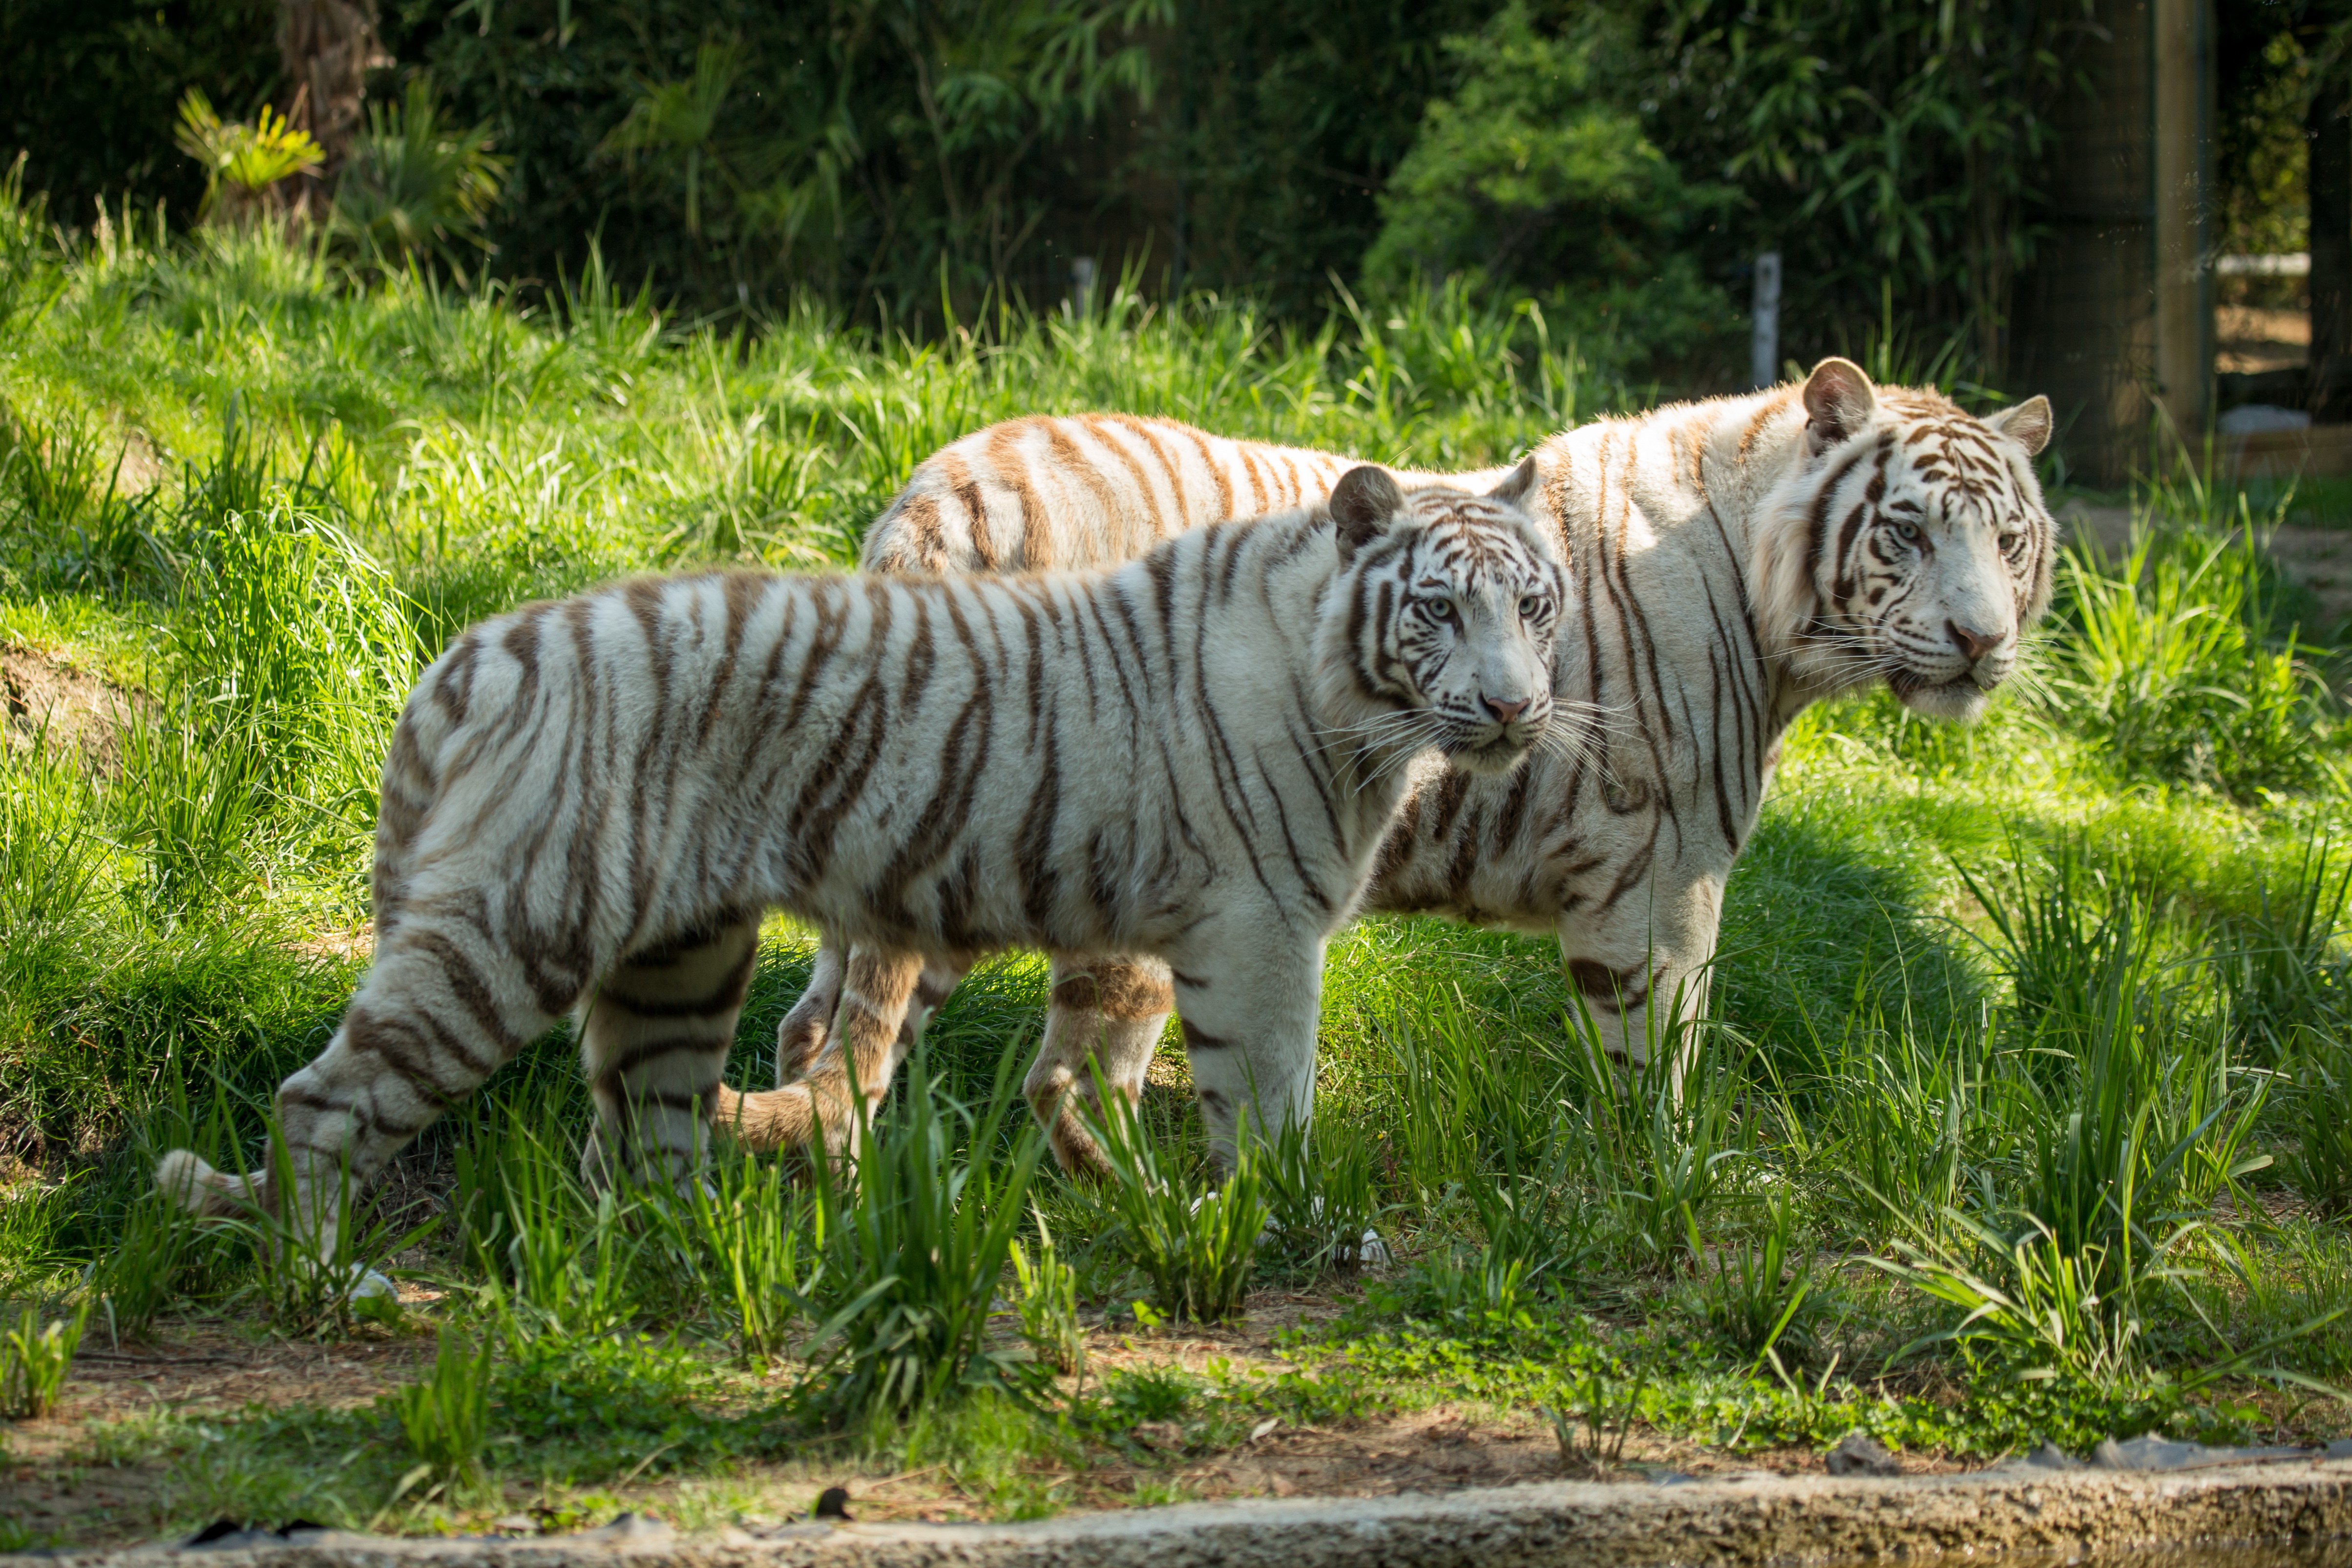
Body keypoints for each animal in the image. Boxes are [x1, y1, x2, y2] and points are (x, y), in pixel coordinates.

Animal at [154, 461, 1568, 1243]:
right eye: (1438, 608)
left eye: (1535, 604)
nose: (1515, 708)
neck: (1359, 707)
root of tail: (471, 649)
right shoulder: (1259, 931)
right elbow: (1268, 1101)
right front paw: (1282, 1226)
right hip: (509, 929)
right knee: (322, 1101)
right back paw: (342, 1276)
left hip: (679, 961)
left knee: (643, 1130)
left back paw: (698, 1266)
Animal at [719, 357, 2056, 1177]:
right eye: (1906, 530)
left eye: (2009, 538)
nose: (1982, 640)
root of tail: (944, 492)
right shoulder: (1662, 879)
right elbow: (1658, 1057)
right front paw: (1667, 1180)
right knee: (1031, 1066)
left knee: (825, 1025)